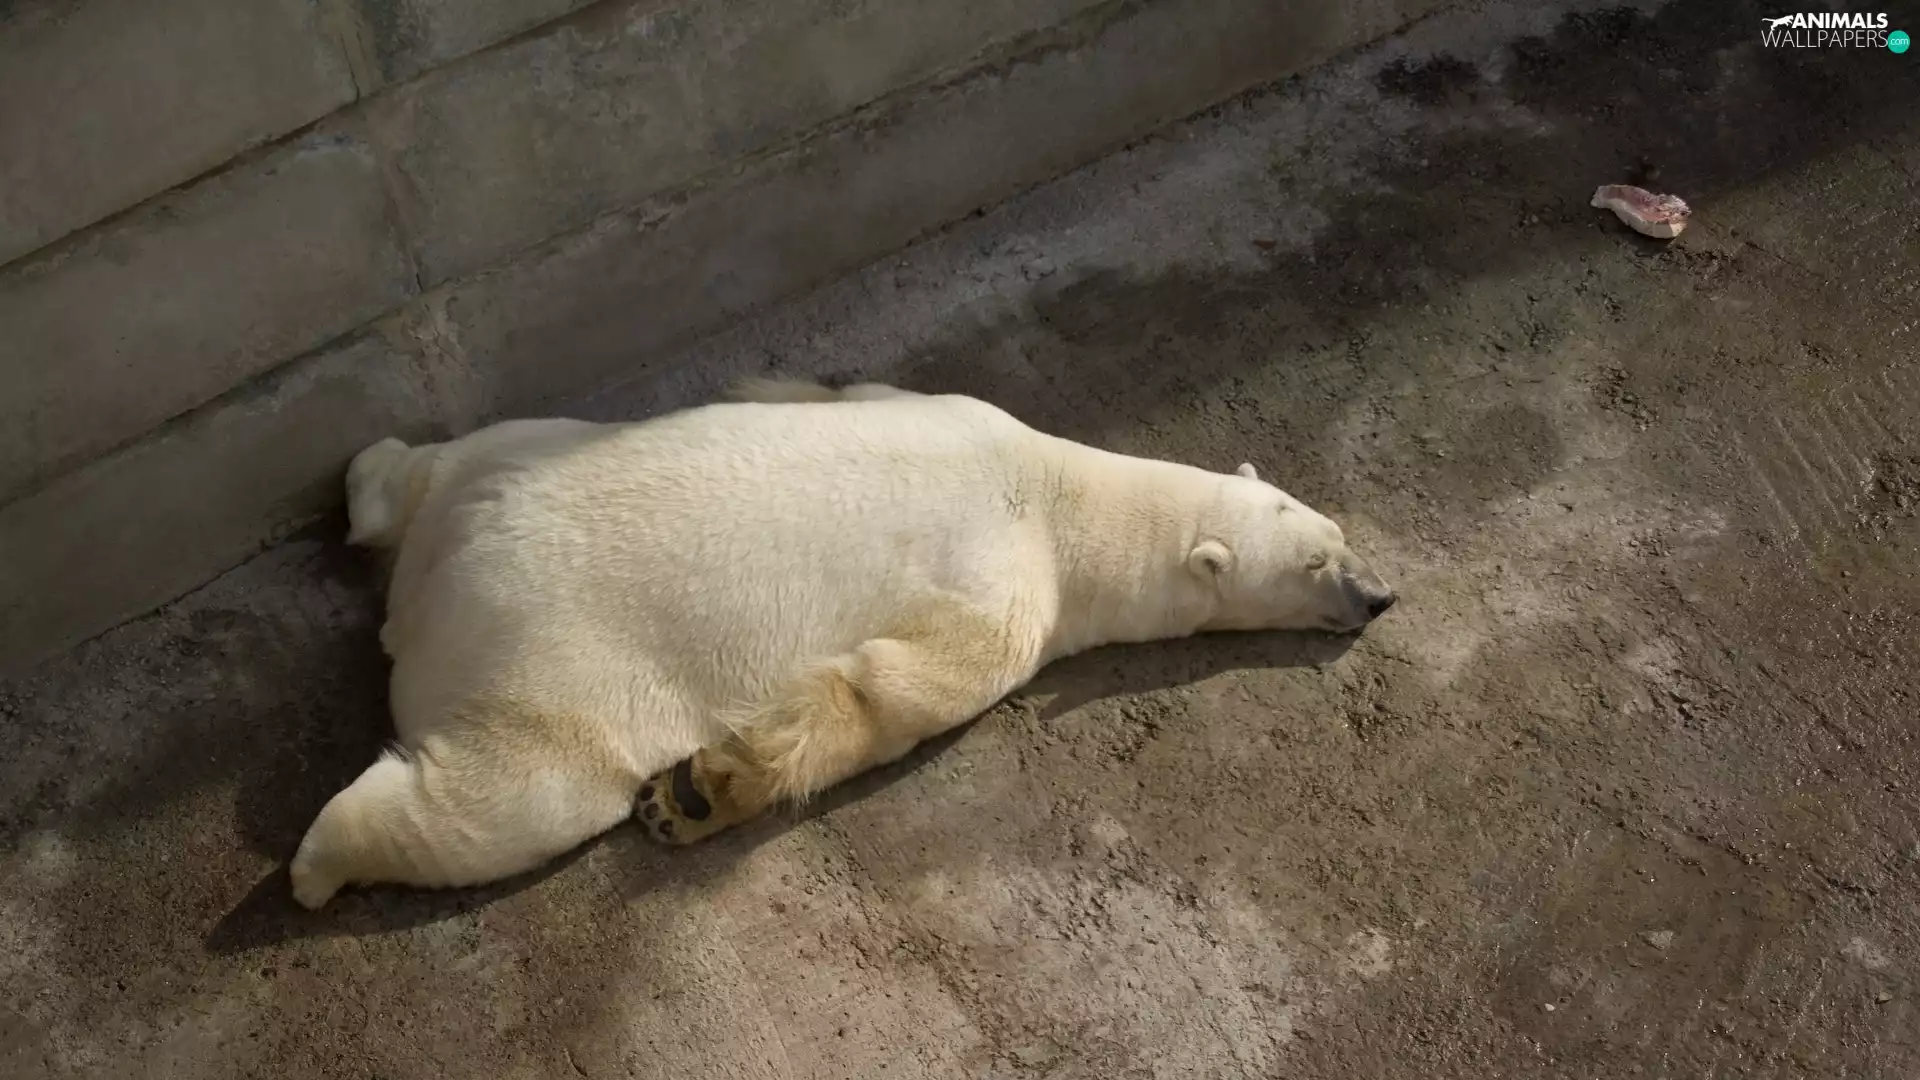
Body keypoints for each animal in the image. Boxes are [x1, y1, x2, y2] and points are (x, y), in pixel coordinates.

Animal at [288, 378, 1395, 909]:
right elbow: (901, 685)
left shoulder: (944, 407)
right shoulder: (1010, 589)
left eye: (1338, 533)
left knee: (421, 462)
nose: (1380, 596)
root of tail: (444, 571)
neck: (1061, 492)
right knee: (511, 798)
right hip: (555, 661)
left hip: (513, 450)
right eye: (1315, 564)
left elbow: (852, 393)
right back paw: (319, 864)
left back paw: (369, 478)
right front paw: (703, 787)